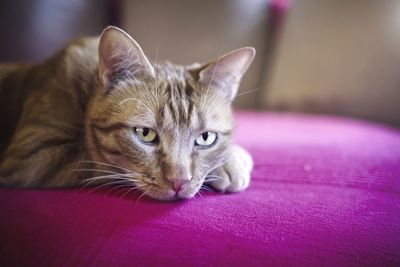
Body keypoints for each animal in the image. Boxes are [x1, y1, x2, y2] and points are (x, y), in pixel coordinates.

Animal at [0, 26, 255, 201]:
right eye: (145, 134)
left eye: (205, 138)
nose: (179, 182)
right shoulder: (33, 157)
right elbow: (103, 165)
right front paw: (231, 160)